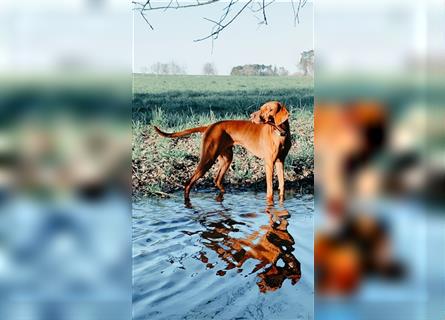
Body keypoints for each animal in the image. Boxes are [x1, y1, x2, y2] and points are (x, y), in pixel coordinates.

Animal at [153, 101, 292, 204]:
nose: (251, 115)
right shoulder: (269, 163)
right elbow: (270, 190)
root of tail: (210, 126)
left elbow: (282, 185)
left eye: (269, 109)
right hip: (208, 158)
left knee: (217, 180)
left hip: (226, 158)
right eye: (261, 108)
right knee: (188, 183)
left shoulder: (280, 161)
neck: (280, 133)